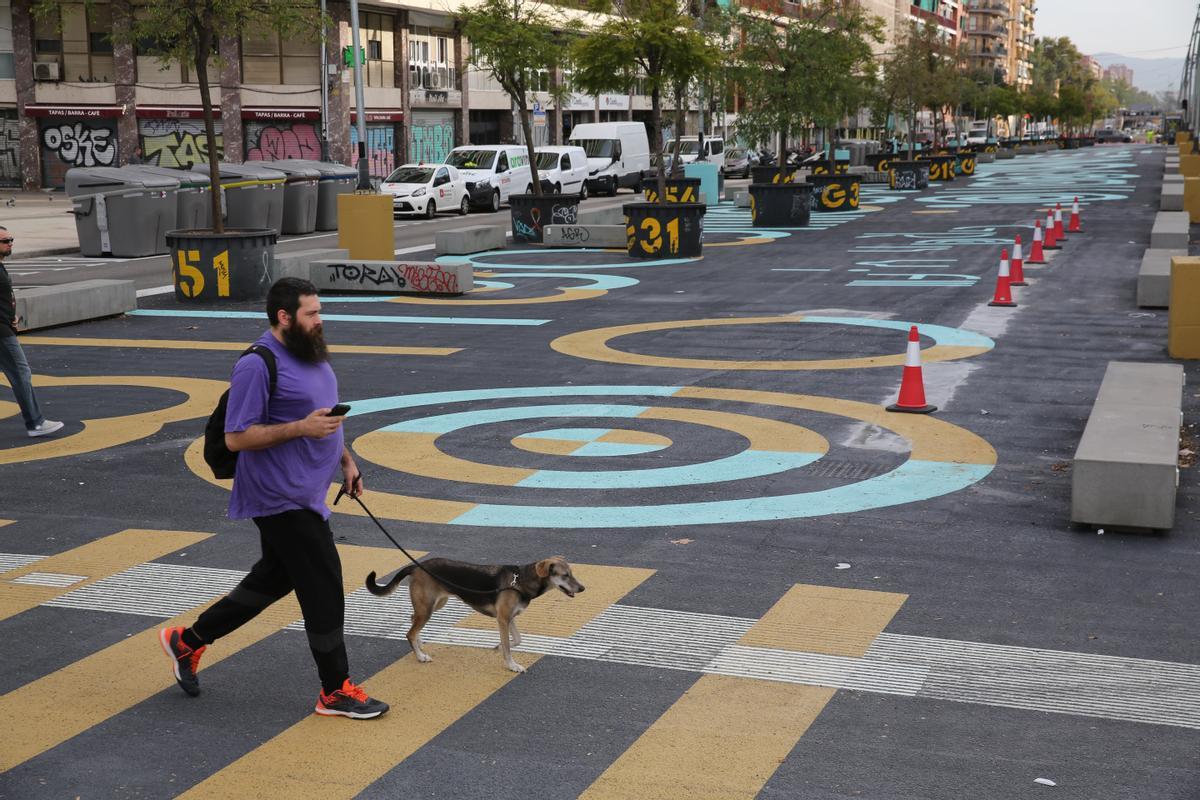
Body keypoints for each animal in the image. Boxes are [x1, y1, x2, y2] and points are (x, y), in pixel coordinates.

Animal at [369, 556, 585, 676]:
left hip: (435, 604)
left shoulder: (510, 617)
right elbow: (509, 647)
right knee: (410, 632)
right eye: (565, 576)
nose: (582, 588)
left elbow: (516, 640)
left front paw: (498, 647)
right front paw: (512, 665)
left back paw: (419, 645)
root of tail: (416, 566)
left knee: (412, 620)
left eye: (572, 573)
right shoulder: (503, 619)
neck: (522, 580)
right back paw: (420, 656)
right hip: (428, 607)